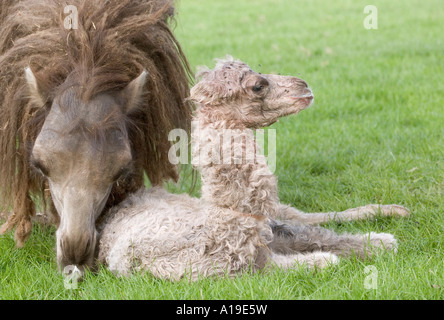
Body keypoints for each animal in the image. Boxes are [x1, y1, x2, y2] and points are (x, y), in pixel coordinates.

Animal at [97, 57, 410, 280]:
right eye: (258, 85)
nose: (304, 86)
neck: (225, 218)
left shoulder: (268, 236)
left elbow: (321, 237)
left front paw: (381, 241)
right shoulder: (240, 268)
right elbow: (314, 260)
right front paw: (365, 247)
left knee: (309, 218)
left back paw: (395, 211)